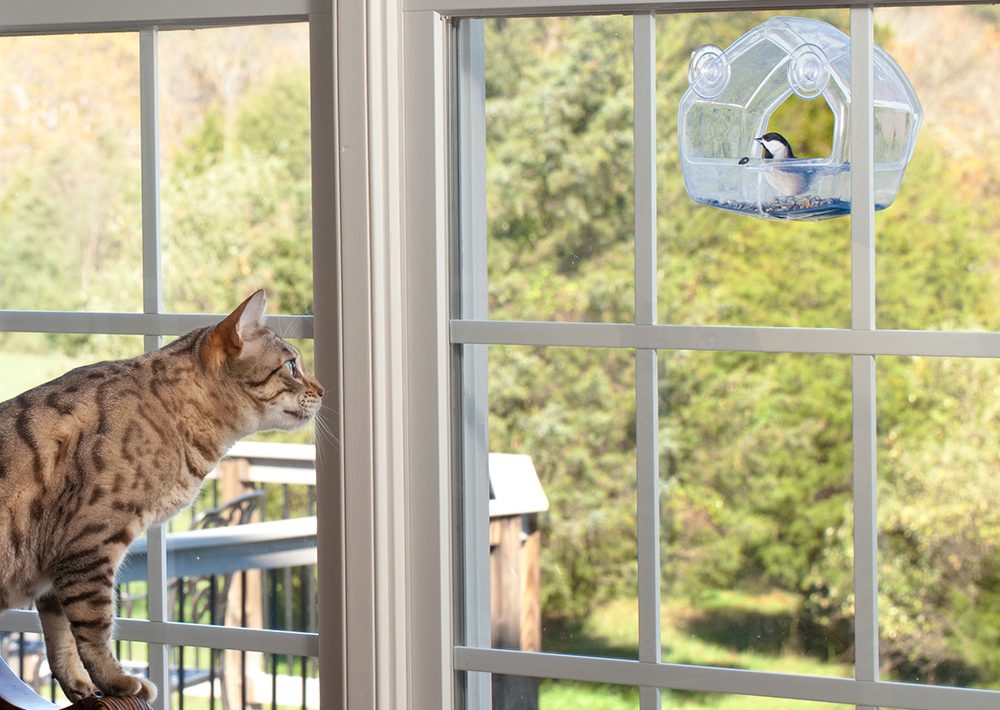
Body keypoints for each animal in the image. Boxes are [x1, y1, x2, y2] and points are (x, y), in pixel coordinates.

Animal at [0, 292, 322, 704]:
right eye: (292, 365)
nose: (323, 390)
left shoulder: (54, 576)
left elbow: (61, 642)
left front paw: (83, 689)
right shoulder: (87, 548)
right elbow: (94, 628)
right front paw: (116, 680)